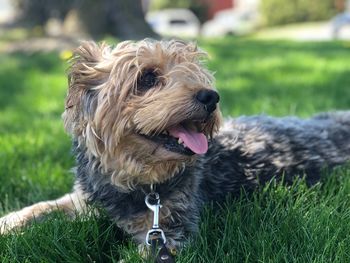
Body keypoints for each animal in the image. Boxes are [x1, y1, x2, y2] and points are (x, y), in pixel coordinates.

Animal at [2, 39, 350, 258]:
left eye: (192, 74)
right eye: (146, 78)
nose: (211, 96)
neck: (138, 179)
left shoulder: (169, 231)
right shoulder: (85, 201)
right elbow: (42, 208)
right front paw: (7, 223)